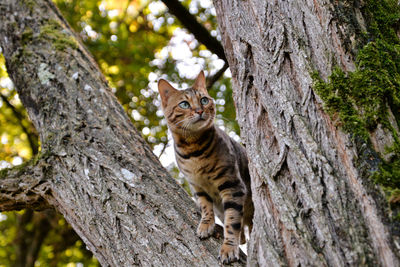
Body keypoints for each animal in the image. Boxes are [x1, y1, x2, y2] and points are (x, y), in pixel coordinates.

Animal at [157, 70, 253, 264]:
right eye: (184, 104)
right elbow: (205, 206)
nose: (200, 110)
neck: (194, 151)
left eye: (204, 100)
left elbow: (232, 222)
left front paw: (228, 247)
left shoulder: (233, 185)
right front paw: (206, 224)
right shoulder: (197, 185)